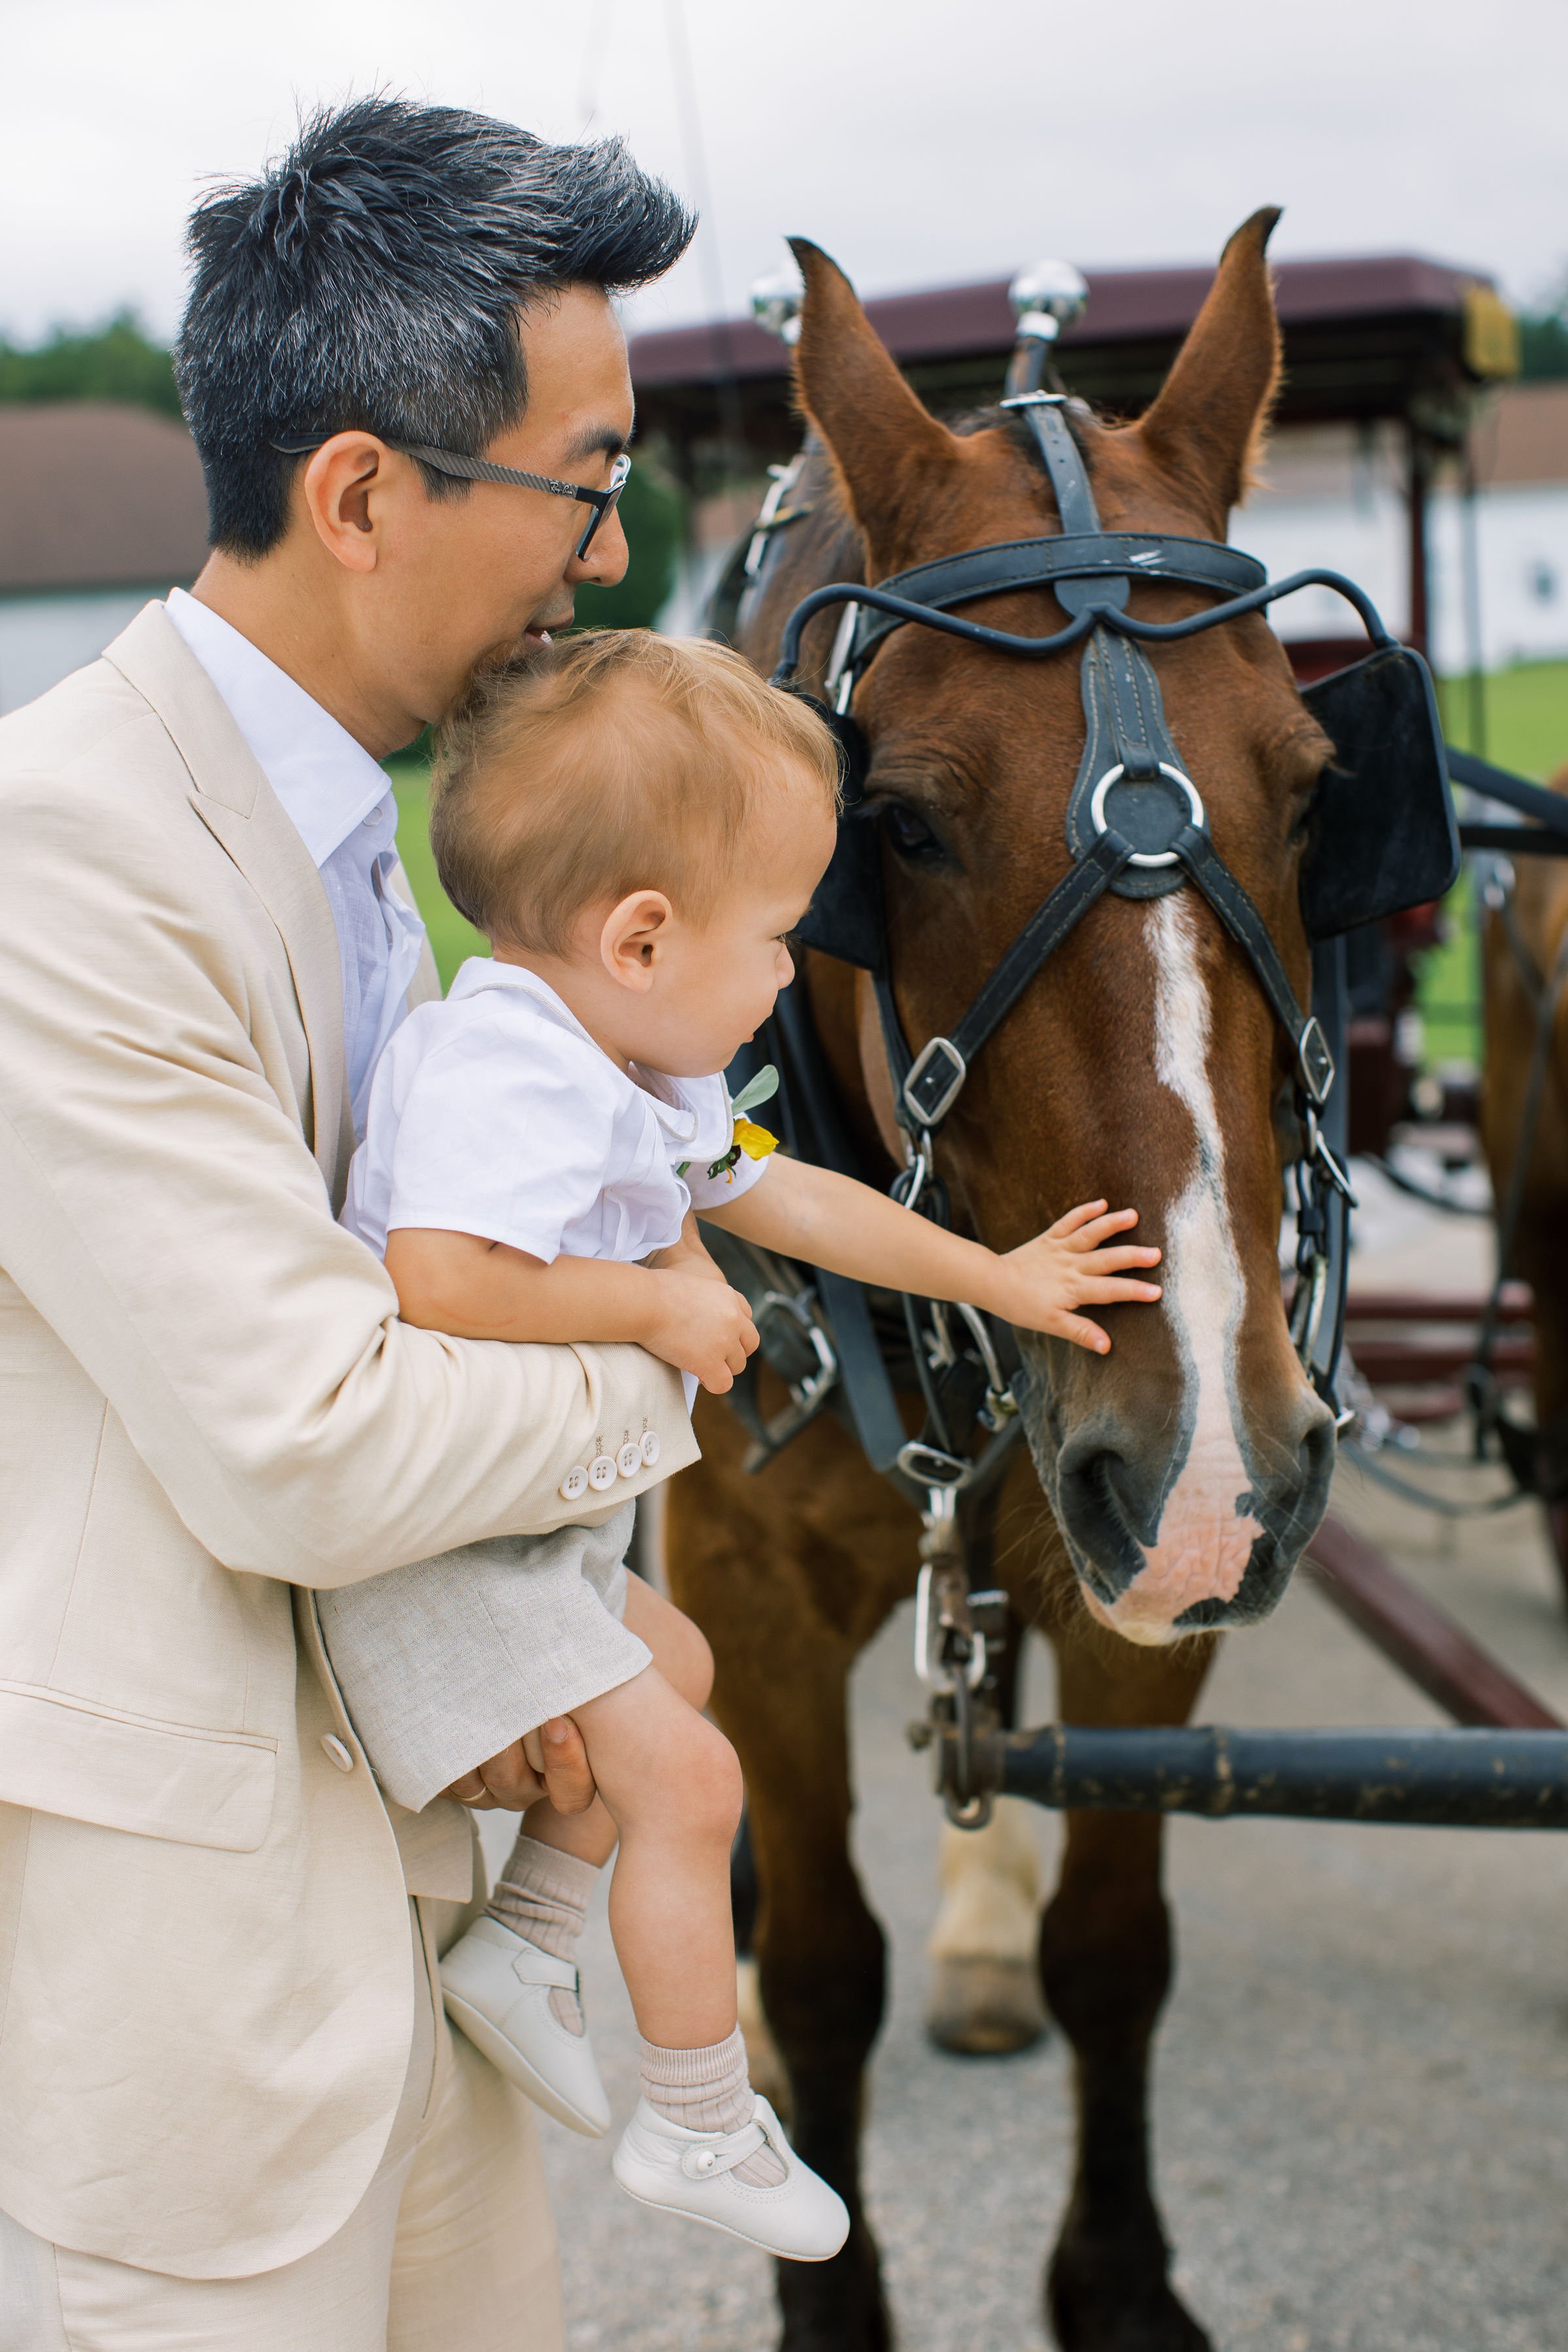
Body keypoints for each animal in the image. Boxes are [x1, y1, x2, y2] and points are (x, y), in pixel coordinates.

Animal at [667, 216, 1345, 2352]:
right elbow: (820, 1965)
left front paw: (1115, 2286)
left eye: (1313, 789)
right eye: (891, 824)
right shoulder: (747, 1584)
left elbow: (1112, 1944)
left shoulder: (1166, 1563)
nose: (1206, 1446)